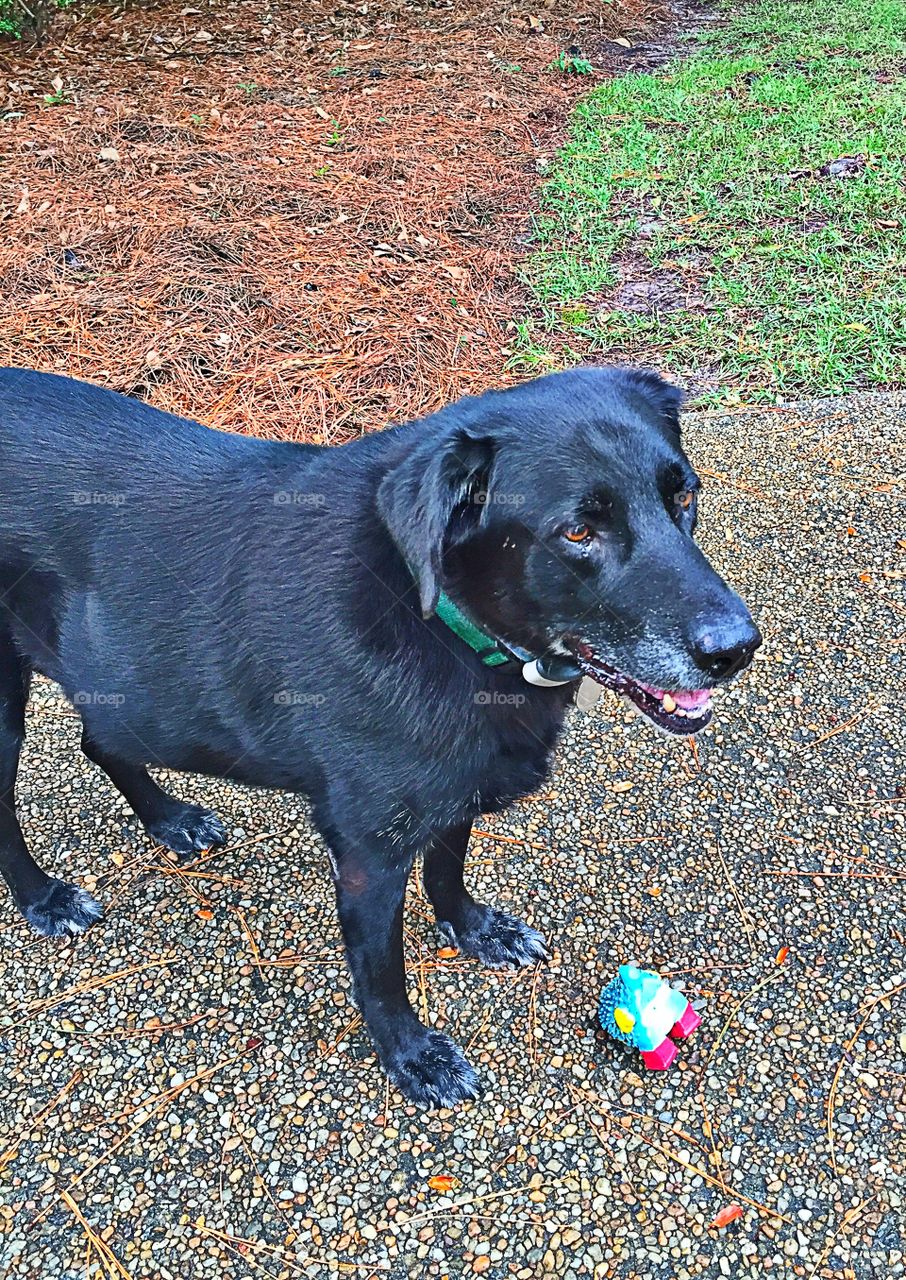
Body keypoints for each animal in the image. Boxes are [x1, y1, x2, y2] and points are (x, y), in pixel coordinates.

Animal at [0, 366, 762, 1105]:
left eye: (684, 496)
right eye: (577, 533)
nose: (736, 649)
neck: (443, 619)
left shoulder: (453, 786)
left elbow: (448, 866)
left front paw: (473, 928)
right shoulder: (369, 853)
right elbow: (381, 969)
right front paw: (412, 1054)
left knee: (100, 741)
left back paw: (169, 819)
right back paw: (43, 898)